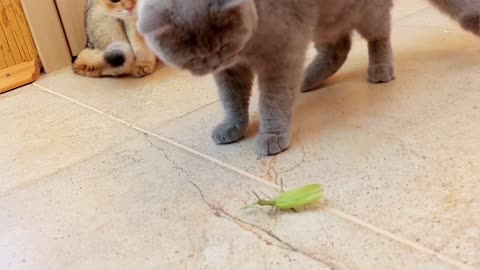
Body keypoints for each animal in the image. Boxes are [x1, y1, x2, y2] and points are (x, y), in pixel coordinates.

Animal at [137, 0, 478, 155]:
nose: (212, 61)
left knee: (378, 36)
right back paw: (309, 80)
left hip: (362, 11)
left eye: (220, 46)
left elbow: (273, 101)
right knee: (339, 47)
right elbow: (232, 100)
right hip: (324, 20)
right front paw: (232, 127)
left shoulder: (281, 55)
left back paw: (380, 70)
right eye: (195, 57)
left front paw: (272, 135)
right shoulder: (230, 72)